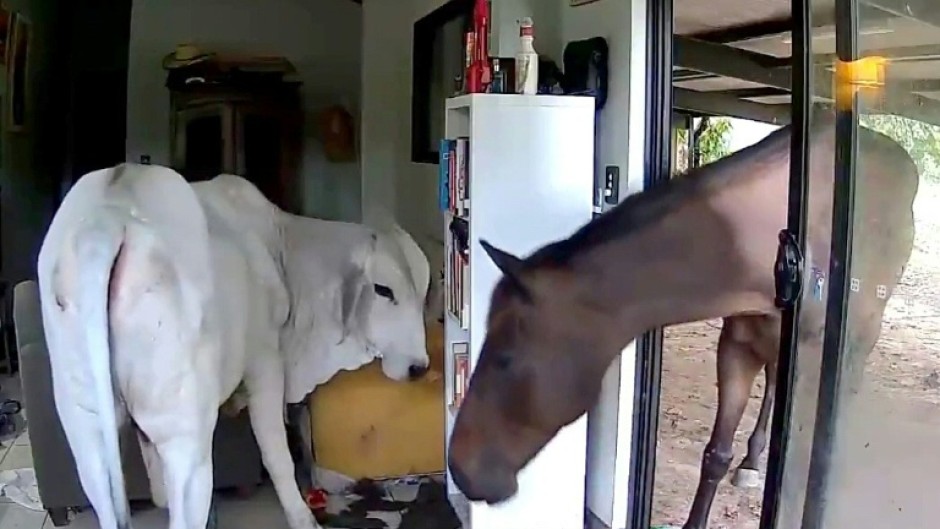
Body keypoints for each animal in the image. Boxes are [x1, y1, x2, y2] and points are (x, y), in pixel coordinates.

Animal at [38, 164, 431, 529]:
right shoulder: (266, 362)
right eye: (383, 290)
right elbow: (276, 453)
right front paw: (302, 517)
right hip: (187, 442)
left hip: (87, 434)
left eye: (425, 292)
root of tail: (108, 218)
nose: (419, 367)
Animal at [446, 110, 918, 529]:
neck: (780, 252)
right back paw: (753, 460)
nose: (459, 467)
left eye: (505, 358)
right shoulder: (737, 348)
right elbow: (716, 455)